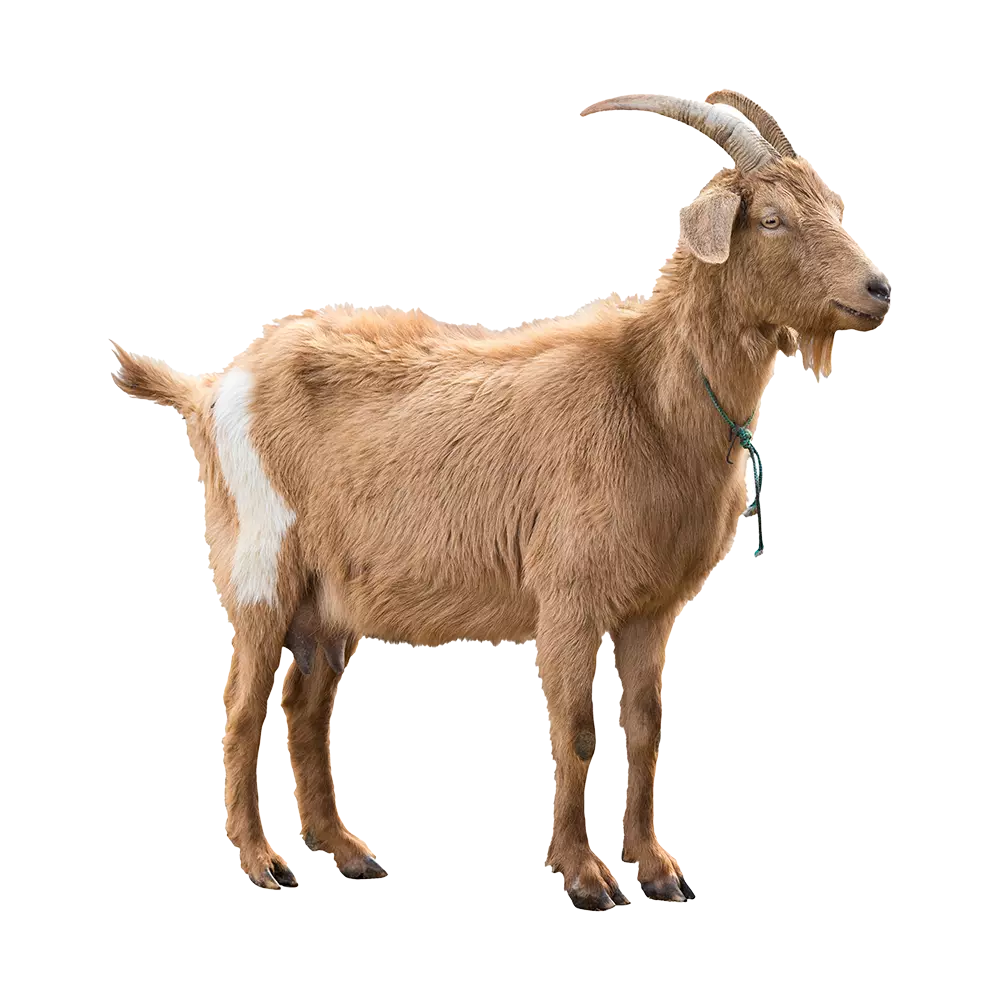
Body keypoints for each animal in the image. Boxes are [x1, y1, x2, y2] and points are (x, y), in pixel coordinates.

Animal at [111, 90, 890, 909]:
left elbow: (645, 727)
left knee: (304, 705)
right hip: (262, 564)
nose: (880, 290)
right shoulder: (569, 596)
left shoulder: (651, 607)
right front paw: (584, 874)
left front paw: (655, 867)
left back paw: (348, 850)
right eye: (771, 218)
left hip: (329, 599)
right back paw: (264, 860)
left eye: (835, 205)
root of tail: (211, 389)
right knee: (243, 705)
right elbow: (575, 729)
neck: (645, 396)